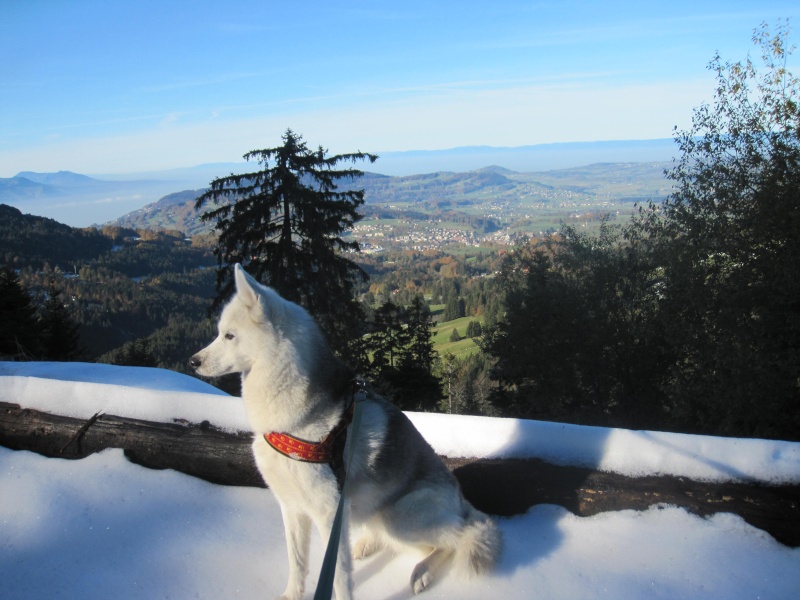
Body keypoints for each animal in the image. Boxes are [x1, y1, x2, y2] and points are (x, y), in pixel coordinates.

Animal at [192, 264, 500, 596]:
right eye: (219, 333)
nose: (193, 361)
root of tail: (461, 502)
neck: (296, 421)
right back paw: (366, 544)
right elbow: (297, 562)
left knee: (458, 537)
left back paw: (423, 571)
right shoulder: (292, 507)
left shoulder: (328, 513)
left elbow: (339, 576)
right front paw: (292, 595)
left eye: (229, 335)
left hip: (400, 516)